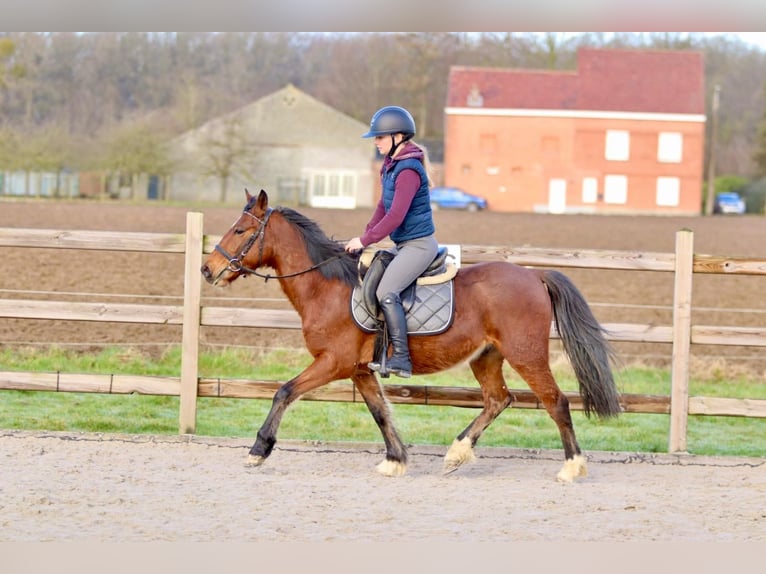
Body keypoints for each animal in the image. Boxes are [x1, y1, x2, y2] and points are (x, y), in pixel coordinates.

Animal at [201, 189, 622, 482]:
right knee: (498, 400)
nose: (207, 269)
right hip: (487, 357)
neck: (326, 286)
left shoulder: (333, 363)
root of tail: (535, 274)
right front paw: (395, 460)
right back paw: (456, 454)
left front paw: (259, 449)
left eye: (240, 230)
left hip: (526, 354)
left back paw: (571, 467)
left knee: (556, 403)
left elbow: (284, 392)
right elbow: (379, 412)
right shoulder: (360, 370)